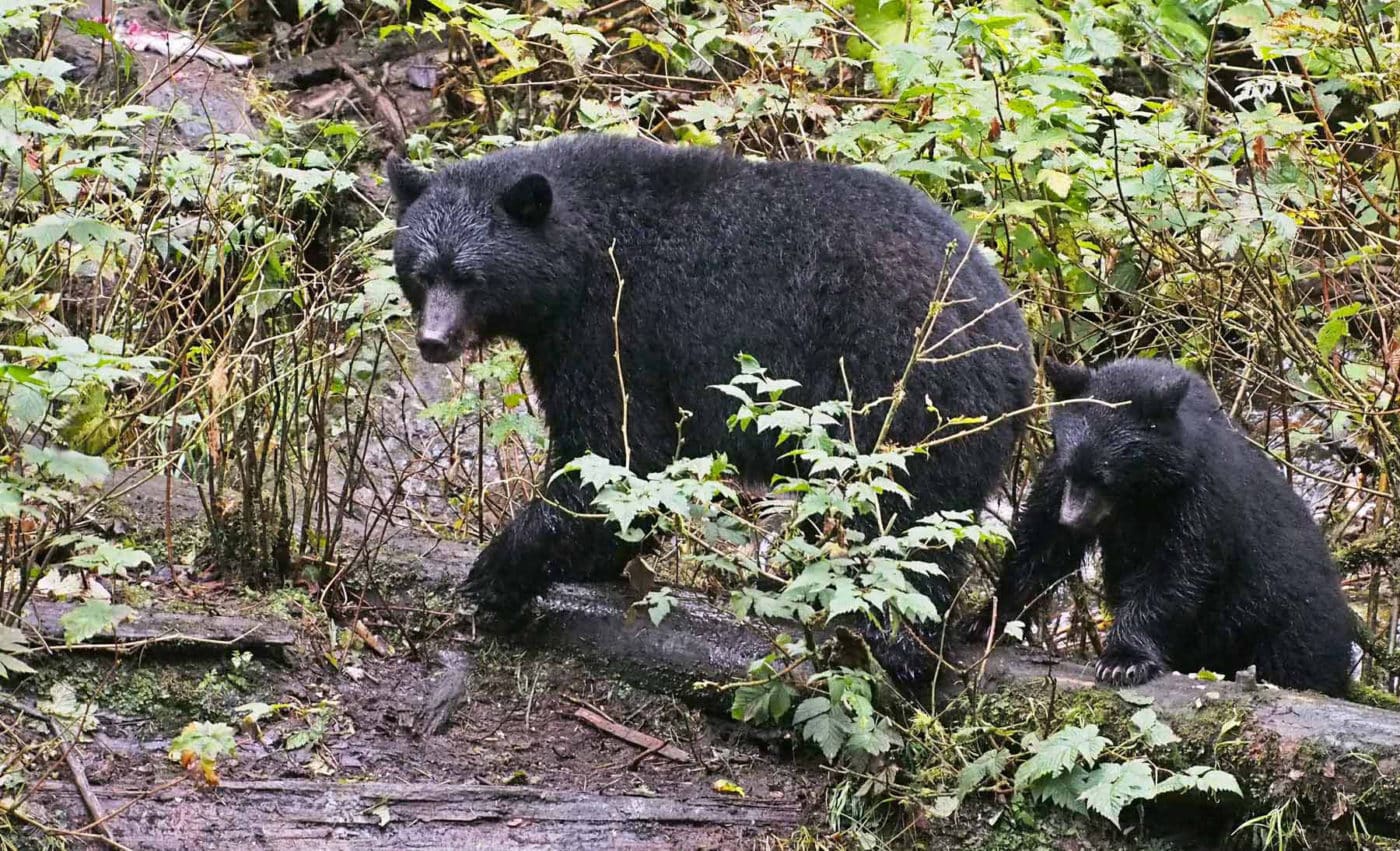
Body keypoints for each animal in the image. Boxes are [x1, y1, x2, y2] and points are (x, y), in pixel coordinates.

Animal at [389, 134, 1036, 677]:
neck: (576, 253)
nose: (434, 340)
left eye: (469, 276)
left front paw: (497, 572)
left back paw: (894, 644)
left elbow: (617, 448)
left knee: (909, 530)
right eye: (419, 273)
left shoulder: (614, 322)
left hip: (913, 398)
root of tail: (1020, 357)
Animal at [985, 358, 1355, 697]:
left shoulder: (1198, 498)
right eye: (1073, 469)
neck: (1142, 492)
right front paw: (989, 620)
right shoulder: (1058, 481)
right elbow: (1041, 542)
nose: (1072, 519)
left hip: (1289, 626)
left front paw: (1122, 660)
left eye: (1105, 475)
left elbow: (1173, 572)